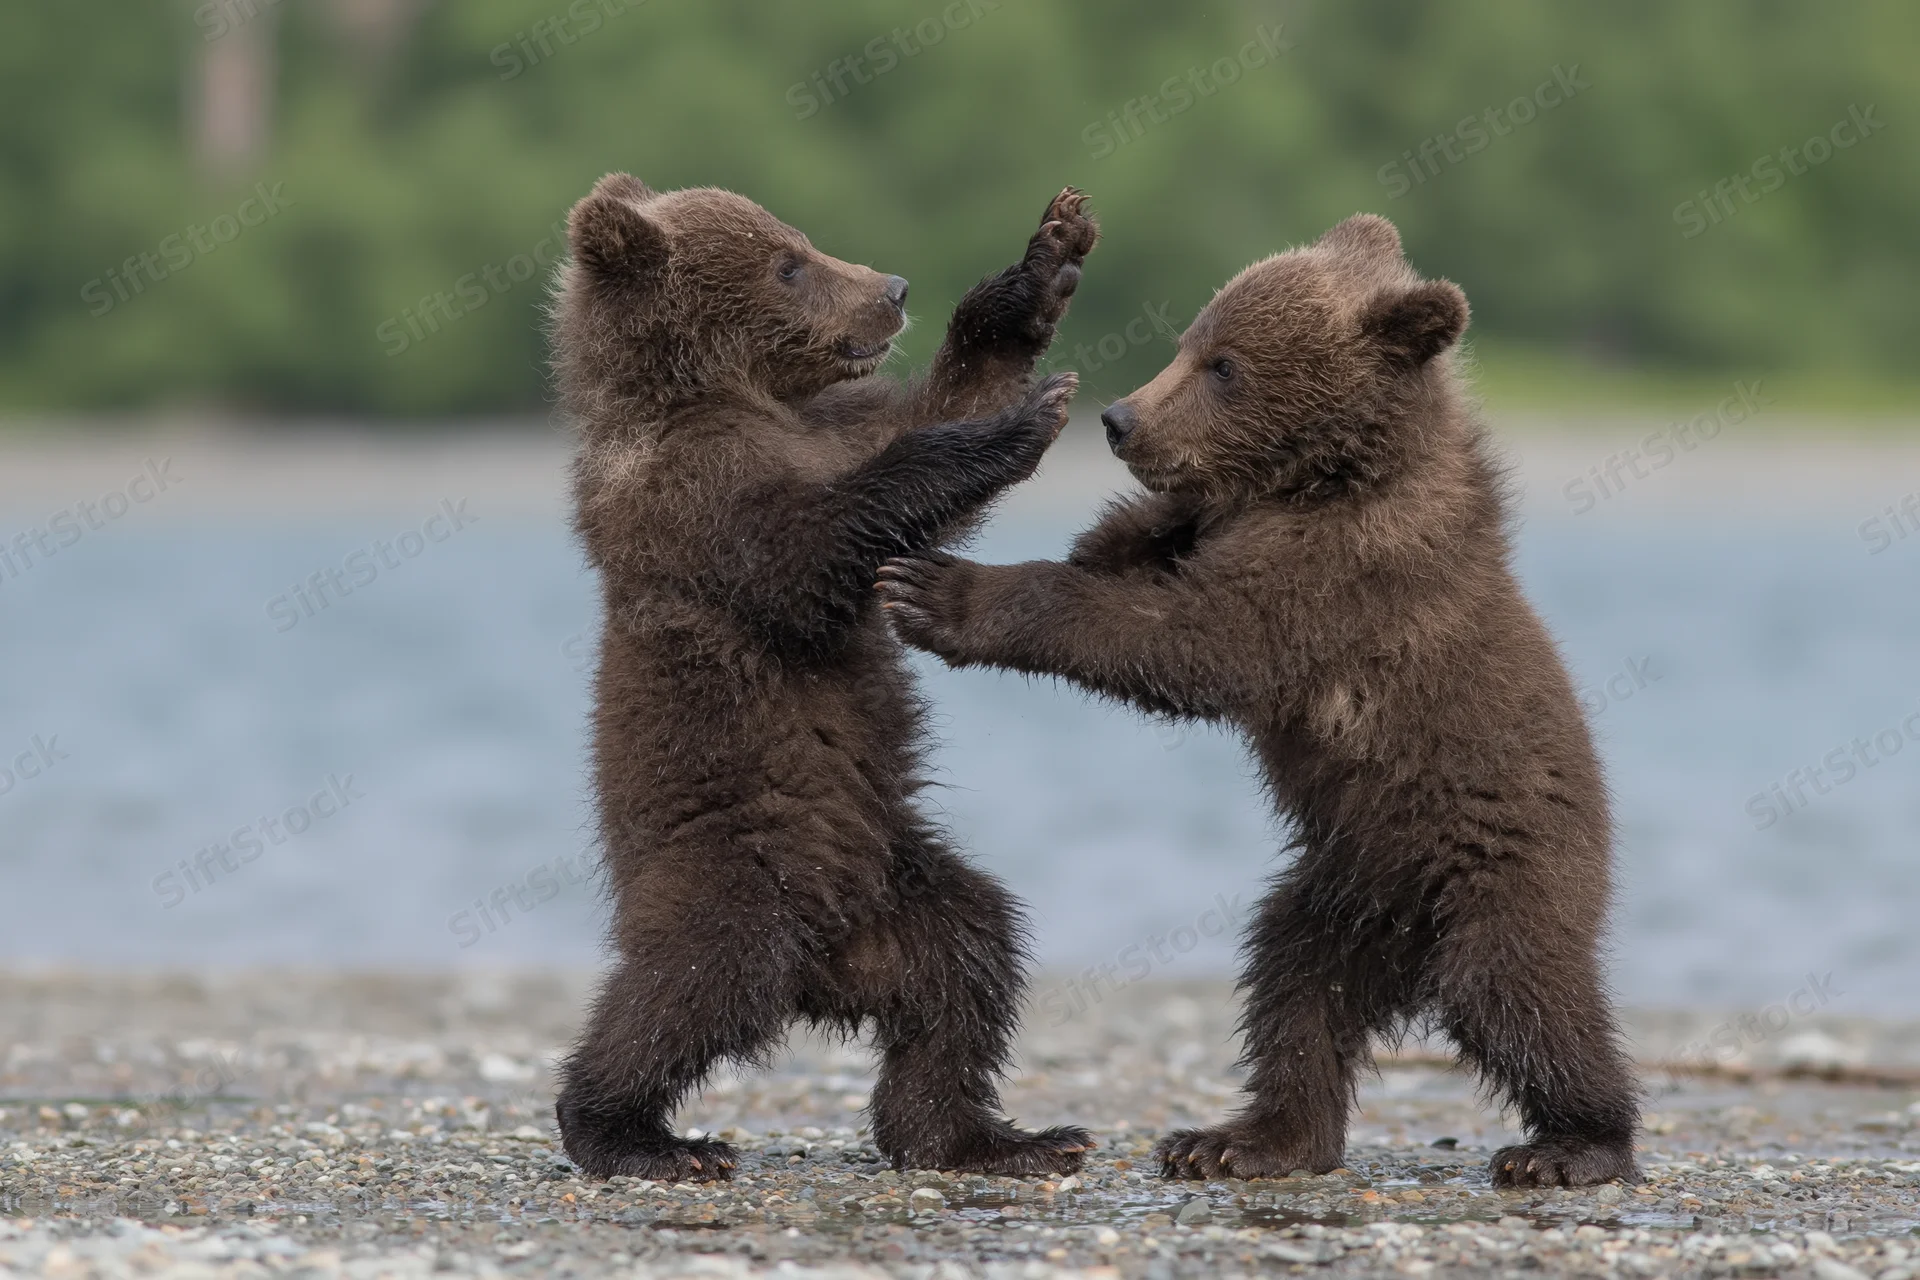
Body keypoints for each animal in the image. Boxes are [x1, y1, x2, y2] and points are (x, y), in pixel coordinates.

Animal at [548, 173, 1101, 1182]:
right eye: (789, 264)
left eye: (798, 240)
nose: (892, 287)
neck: (729, 395)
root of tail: (829, 974)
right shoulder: (692, 494)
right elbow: (808, 552)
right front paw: (1021, 420)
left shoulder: (827, 429)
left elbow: (925, 411)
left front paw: (1039, 270)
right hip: (737, 872)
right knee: (688, 988)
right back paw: (638, 1136)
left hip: (899, 880)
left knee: (972, 958)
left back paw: (996, 1138)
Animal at [876, 213, 1641, 1188]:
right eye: (1187, 342)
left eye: (1225, 365)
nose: (1120, 420)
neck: (1330, 473)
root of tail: (1412, 954)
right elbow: (1151, 555)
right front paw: (1112, 525)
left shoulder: (1340, 577)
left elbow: (1189, 642)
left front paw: (943, 593)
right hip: (1340, 897)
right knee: (1295, 992)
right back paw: (1246, 1137)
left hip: (1500, 872)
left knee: (1523, 996)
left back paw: (1575, 1143)